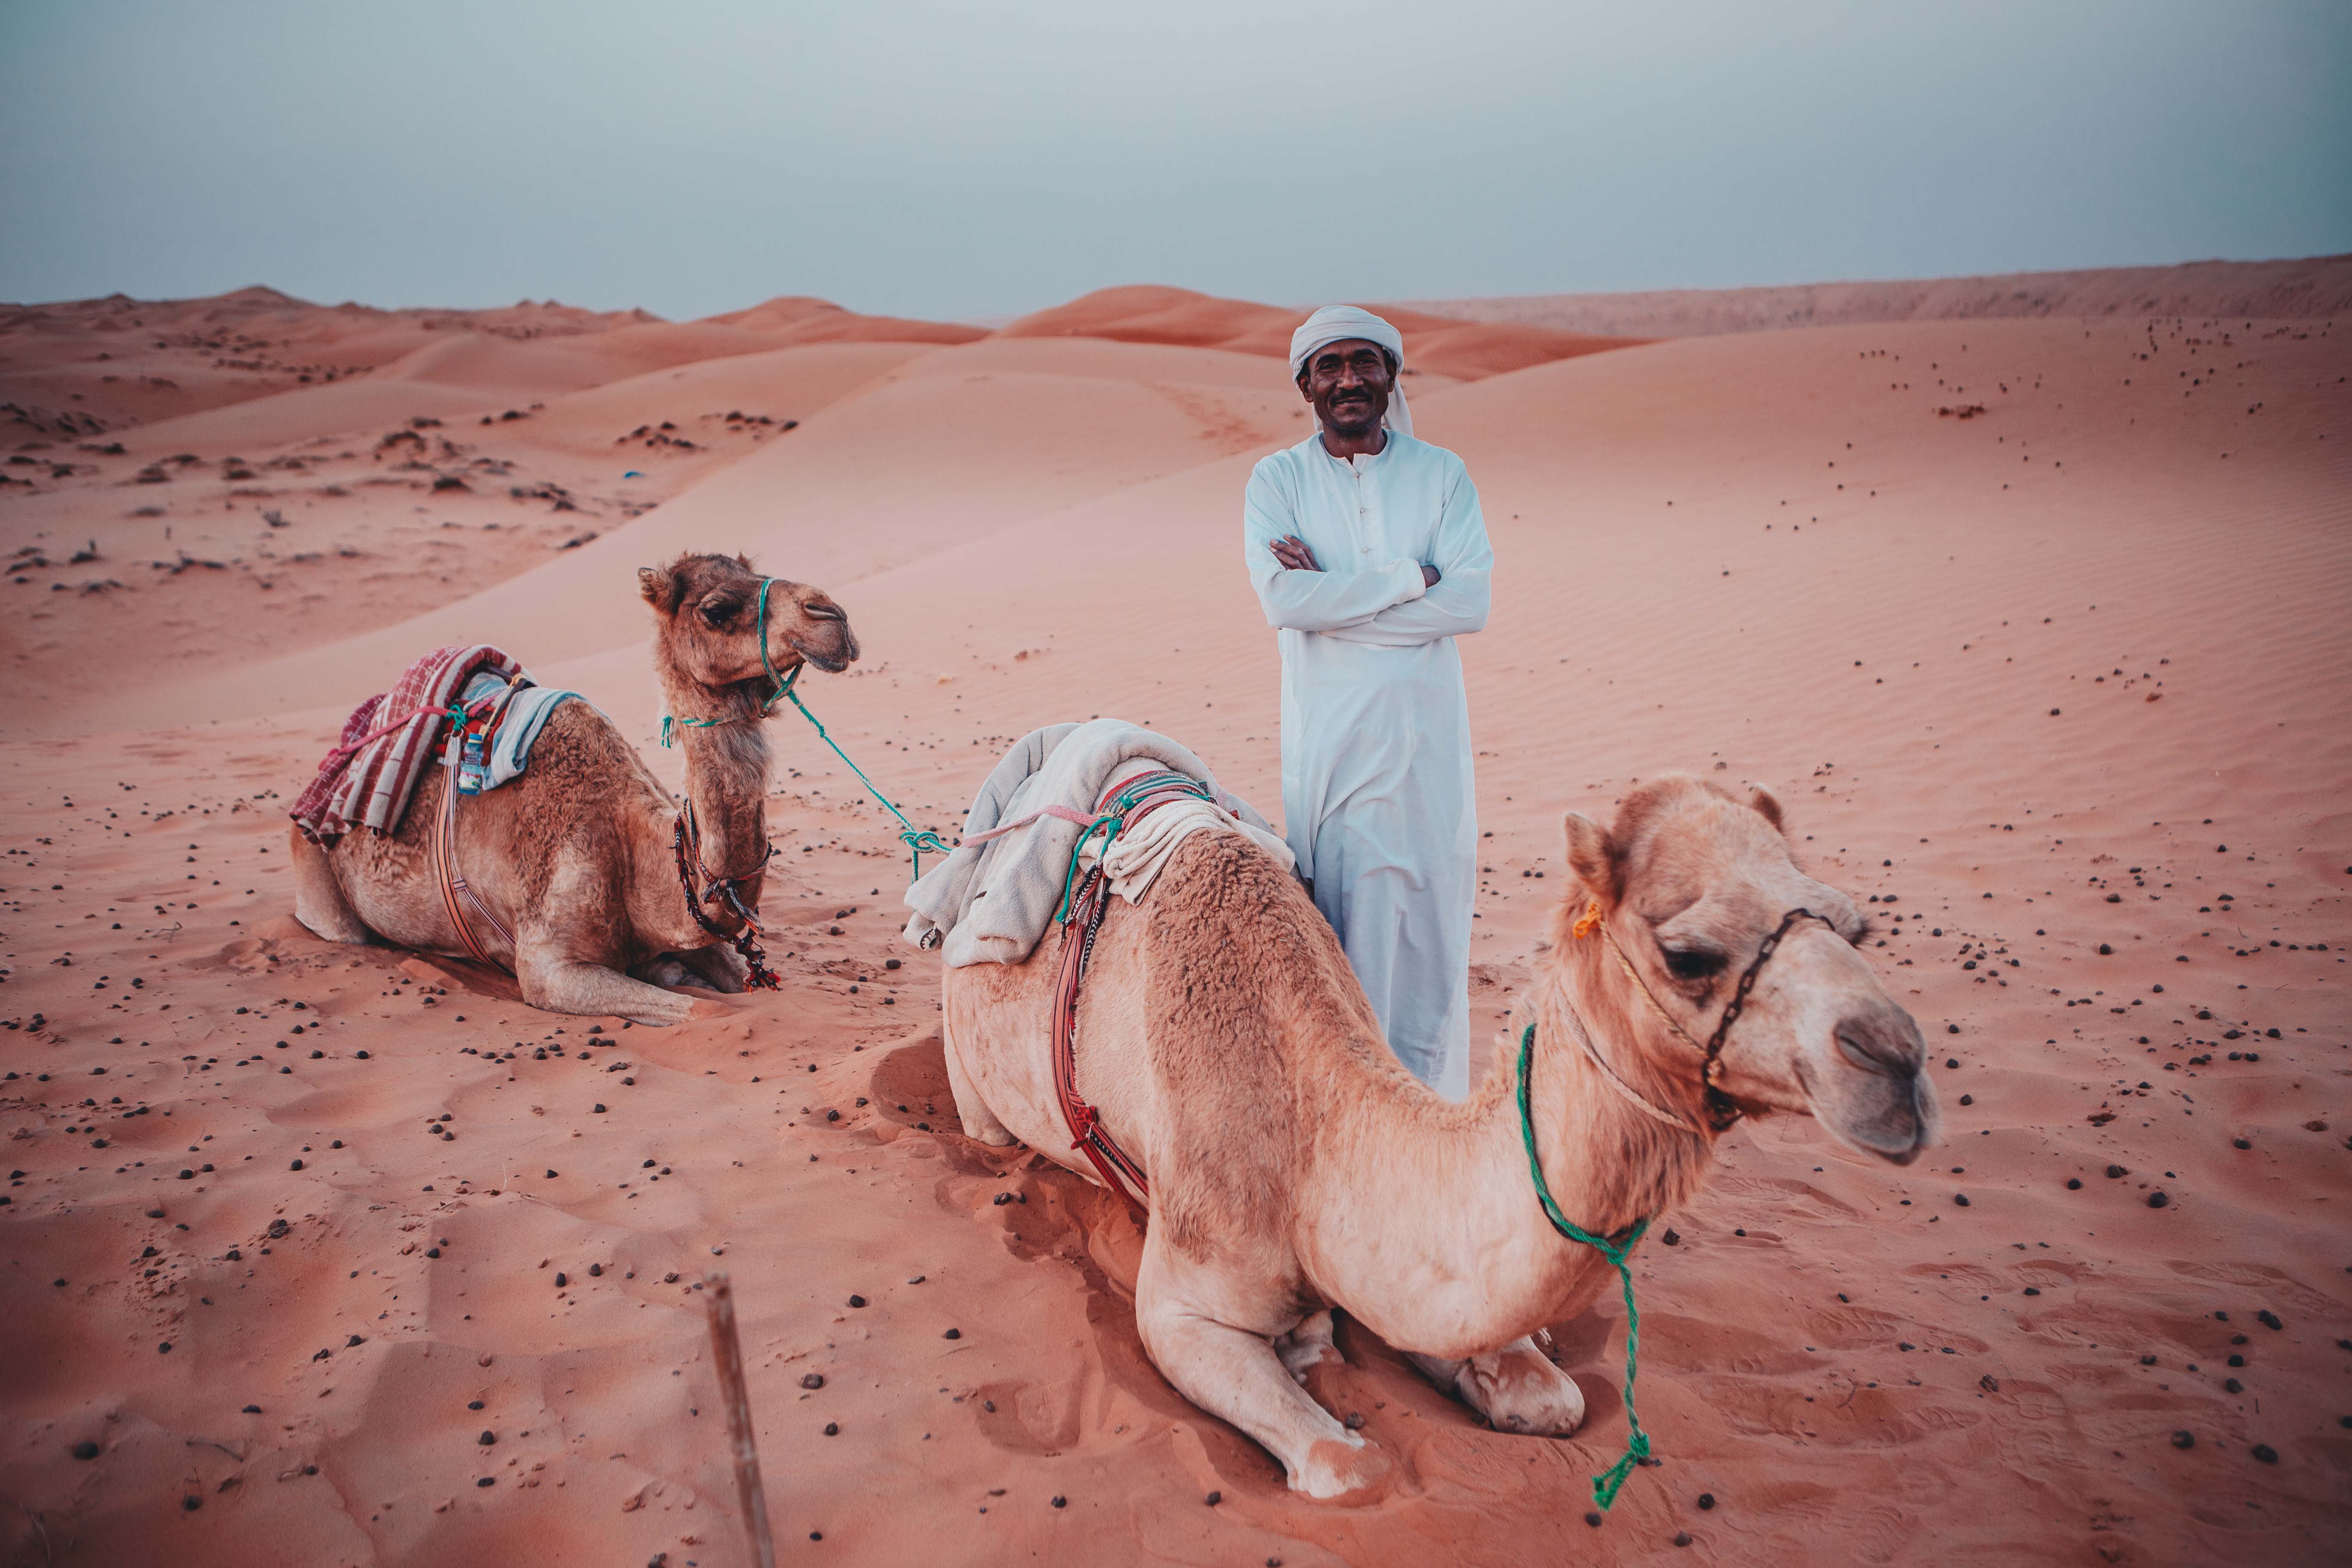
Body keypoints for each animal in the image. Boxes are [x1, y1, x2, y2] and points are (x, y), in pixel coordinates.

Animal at [285, 554, 856, 1029]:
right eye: (716, 610)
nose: (833, 616)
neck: (632, 850)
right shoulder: (549, 968)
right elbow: (702, 1013)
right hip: (318, 877)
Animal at [945, 780, 1938, 1504]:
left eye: (1852, 924)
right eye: (1688, 955)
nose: (1898, 1066)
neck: (1313, 1134)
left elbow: (1550, 1393)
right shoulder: (1184, 1302)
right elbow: (1352, 1466)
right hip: (971, 1076)